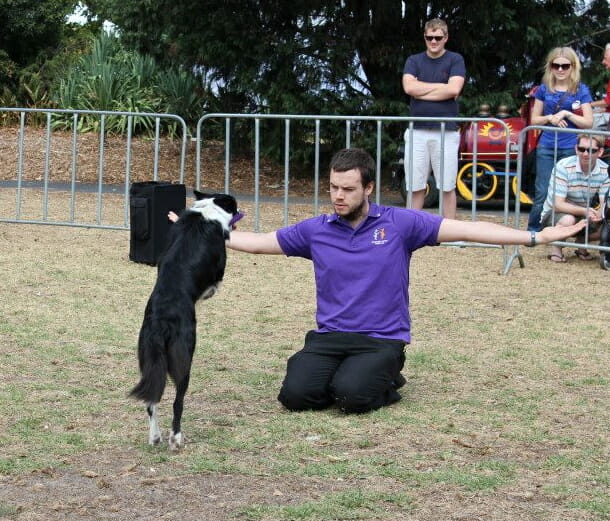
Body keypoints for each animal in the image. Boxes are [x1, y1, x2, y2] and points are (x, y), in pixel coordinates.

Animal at [131, 189, 242, 448]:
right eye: (233, 204)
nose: (241, 209)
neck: (206, 212)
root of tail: (161, 321)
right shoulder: (218, 268)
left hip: (148, 358)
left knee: (152, 400)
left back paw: (155, 436)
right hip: (184, 356)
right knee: (177, 401)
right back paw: (176, 438)